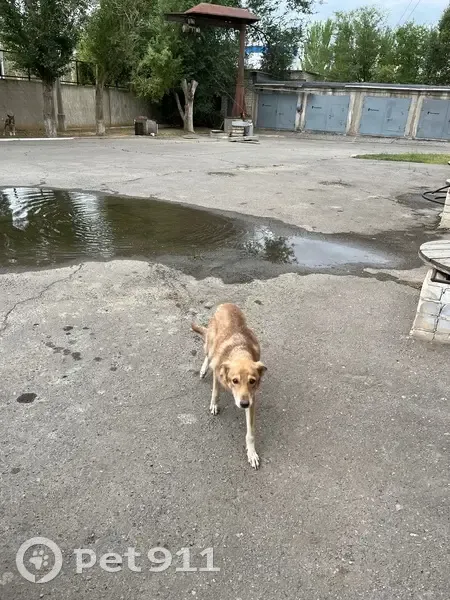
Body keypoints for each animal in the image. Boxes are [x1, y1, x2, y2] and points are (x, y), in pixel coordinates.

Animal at [192, 303, 266, 469]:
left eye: (252, 381)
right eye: (234, 380)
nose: (243, 404)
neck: (239, 351)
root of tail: (225, 304)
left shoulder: (252, 400)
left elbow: (250, 433)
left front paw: (251, 453)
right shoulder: (217, 374)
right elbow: (215, 392)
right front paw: (214, 405)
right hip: (211, 343)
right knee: (207, 354)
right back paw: (203, 369)